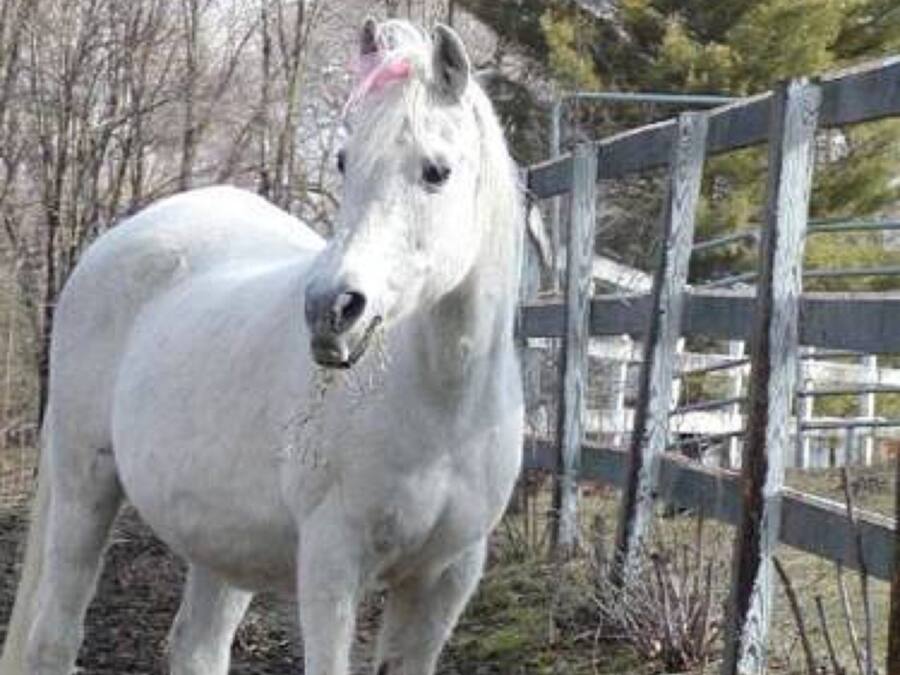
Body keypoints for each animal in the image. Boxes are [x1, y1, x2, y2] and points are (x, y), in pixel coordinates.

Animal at [1, 18, 532, 675]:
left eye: (437, 171)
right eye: (344, 161)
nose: (331, 309)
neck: (442, 409)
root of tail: (115, 242)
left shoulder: (444, 580)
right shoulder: (332, 565)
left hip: (221, 538)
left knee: (197, 648)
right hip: (85, 486)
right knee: (54, 636)